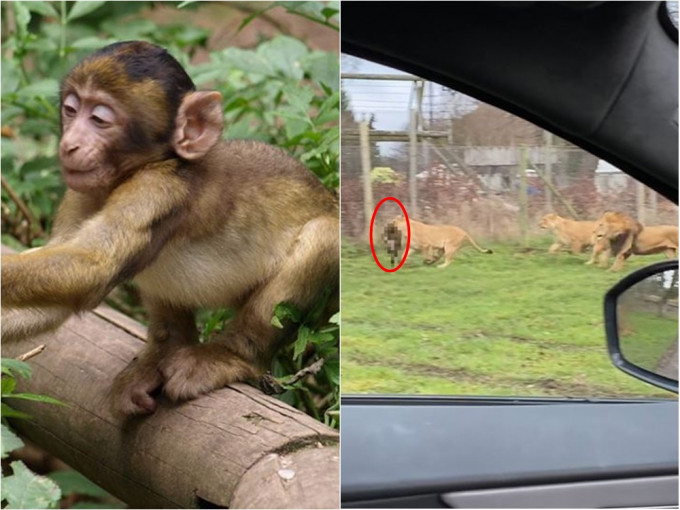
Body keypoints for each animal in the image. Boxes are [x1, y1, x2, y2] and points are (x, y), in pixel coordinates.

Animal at [1, 39, 338, 414]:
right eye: (71, 110)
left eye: (99, 118)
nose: (69, 144)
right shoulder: (82, 191)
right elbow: (56, 302)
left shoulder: (158, 188)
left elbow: (93, 267)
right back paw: (165, 350)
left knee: (324, 237)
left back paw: (229, 356)